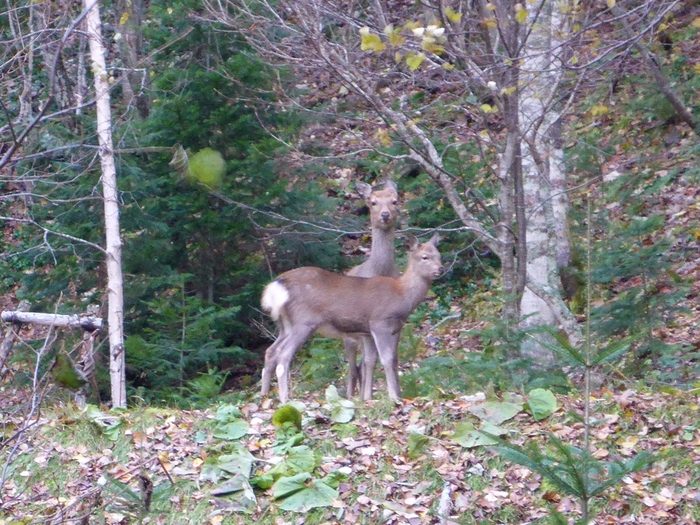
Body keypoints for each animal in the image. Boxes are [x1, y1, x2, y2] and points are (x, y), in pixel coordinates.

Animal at [260, 233, 440, 402]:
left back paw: (264, 396)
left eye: (439, 255)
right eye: (425, 257)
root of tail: (277, 285)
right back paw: (285, 399)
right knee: (283, 354)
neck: (402, 295)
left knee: (271, 351)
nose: (441, 269)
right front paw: (393, 397)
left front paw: (369, 397)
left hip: (285, 324)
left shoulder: (380, 330)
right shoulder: (380, 323)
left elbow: (373, 361)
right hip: (304, 321)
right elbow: (387, 359)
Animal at [344, 180, 400, 398]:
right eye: (373, 202)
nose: (385, 214)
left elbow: (391, 358)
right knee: (353, 366)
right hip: (348, 335)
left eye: (395, 200)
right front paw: (367, 397)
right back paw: (352, 396)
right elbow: (371, 360)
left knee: (360, 364)